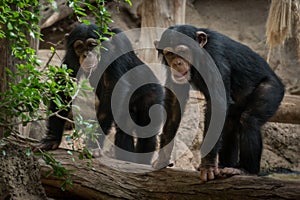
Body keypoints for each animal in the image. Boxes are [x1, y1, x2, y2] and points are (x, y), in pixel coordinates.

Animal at [38, 23, 164, 164]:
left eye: (92, 45)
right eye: (79, 47)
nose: (86, 55)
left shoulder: (117, 48)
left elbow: (114, 88)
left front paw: (94, 144)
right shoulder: (70, 58)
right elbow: (64, 87)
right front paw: (52, 138)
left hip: (152, 94)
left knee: (147, 132)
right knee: (124, 129)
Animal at [154, 24, 284, 181]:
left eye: (182, 51)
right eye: (170, 54)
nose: (177, 63)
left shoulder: (215, 57)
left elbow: (217, 103)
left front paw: (208, 165)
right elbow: (174, 101)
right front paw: (163, 156)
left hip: (273, 89)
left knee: (249, 120)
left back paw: (246, 170)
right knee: (229, 124)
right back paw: (226, 165)